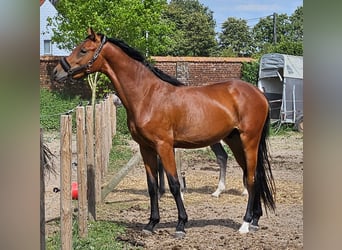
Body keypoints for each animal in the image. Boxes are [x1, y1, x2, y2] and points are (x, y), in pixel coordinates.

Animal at [52, 28, 276, 236]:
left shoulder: (165, 146)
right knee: (254, 174)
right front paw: (151, 224)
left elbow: (174, 184)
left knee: (251, 178)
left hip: (249, 140)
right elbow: (152, 186)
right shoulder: (146, 148)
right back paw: (255, 220)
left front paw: (181, 225)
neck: (147, 96)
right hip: (235, 141)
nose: (56, 72)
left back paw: (245, 224)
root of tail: (259, 94)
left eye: (83, 50)